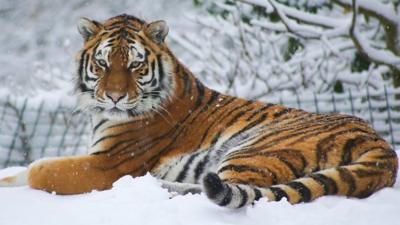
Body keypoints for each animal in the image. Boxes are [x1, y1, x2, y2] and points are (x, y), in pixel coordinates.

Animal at [0, 13, 396, 207]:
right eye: (102, 63)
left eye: (134, 65)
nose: (112, 97)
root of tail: (382, 146)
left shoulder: (106, 164)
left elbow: (39, 171)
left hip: (255, 148)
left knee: (236, 190)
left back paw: (152, 186)